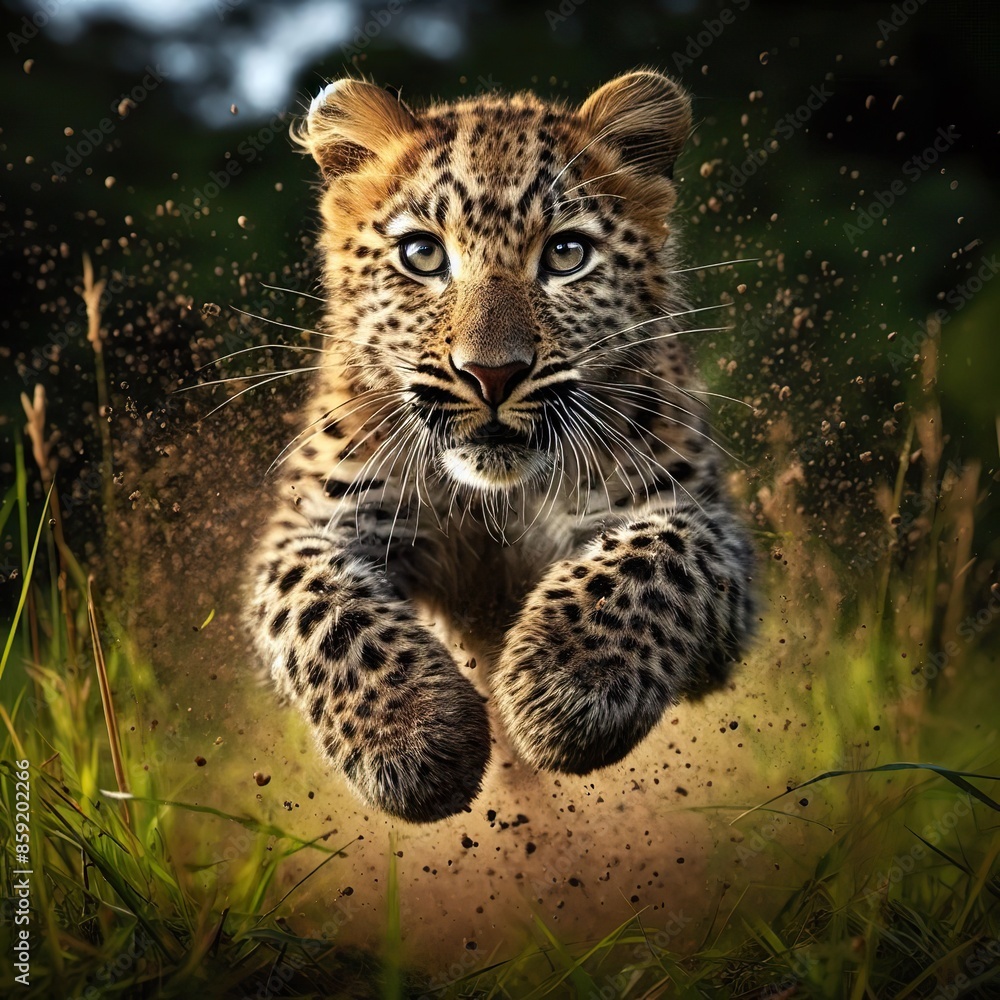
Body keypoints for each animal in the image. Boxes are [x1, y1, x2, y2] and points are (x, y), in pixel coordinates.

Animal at [248, 69, 755, 824]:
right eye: (422, 254)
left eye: (567, 255)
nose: (492, 374)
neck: (494, 498)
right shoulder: (316, 522)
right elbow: (320, 604)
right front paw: (412, 735)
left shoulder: (708, 528)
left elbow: (655, 552)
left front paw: (565, 681)